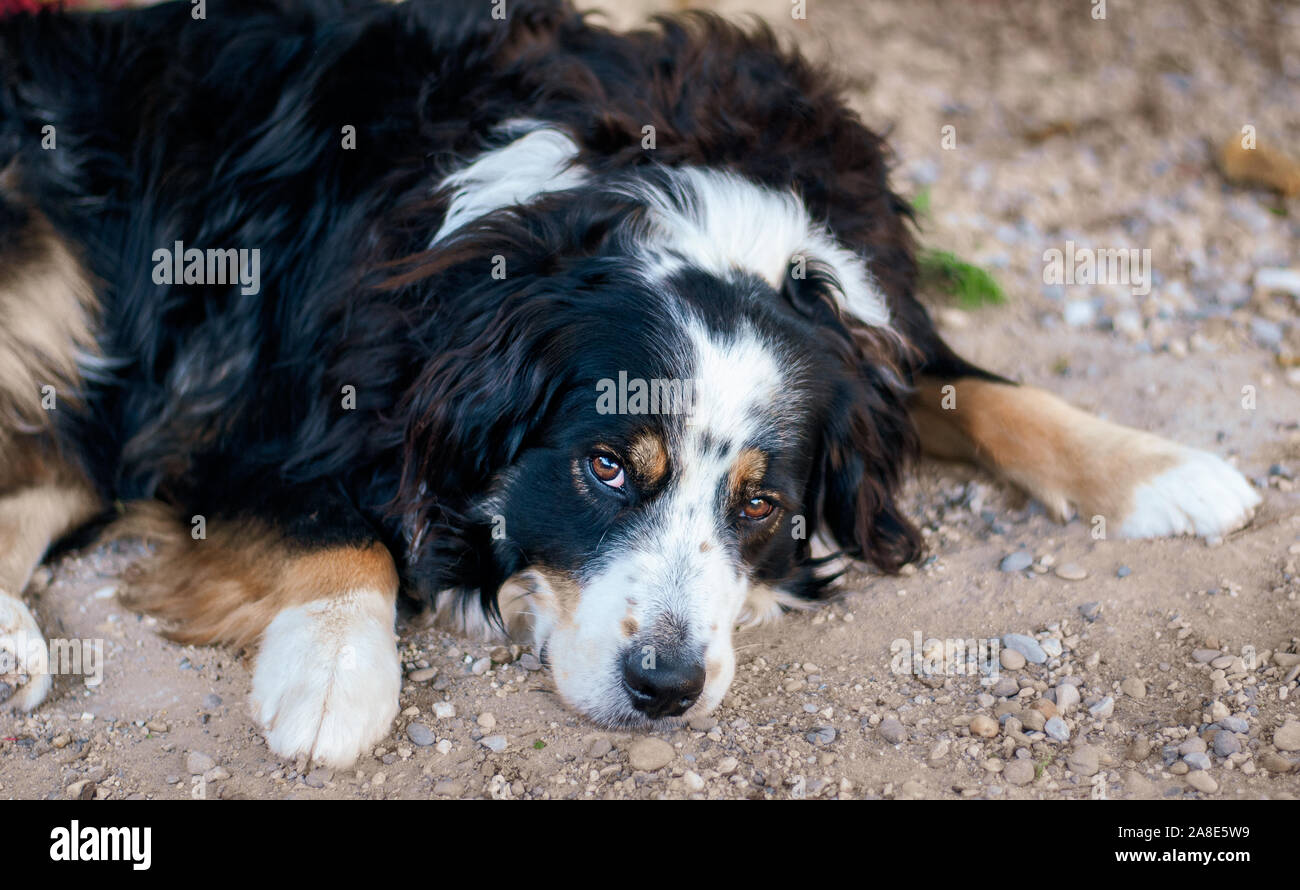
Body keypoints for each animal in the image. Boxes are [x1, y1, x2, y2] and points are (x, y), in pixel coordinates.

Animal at [0, 0, 1258, 763]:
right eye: (606, 466)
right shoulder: (252, 408)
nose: (665, 687)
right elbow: (340, 532)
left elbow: (976, 385)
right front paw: (332, 677)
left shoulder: (869, 320)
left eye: (761, 502)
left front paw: (1166, 470)